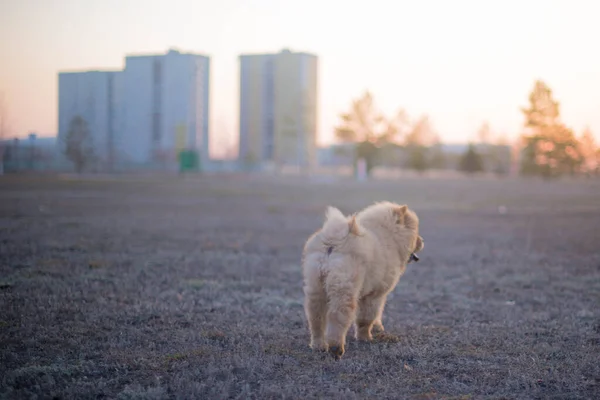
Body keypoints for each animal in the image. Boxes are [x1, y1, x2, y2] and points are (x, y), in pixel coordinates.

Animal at [300, 203, 422, 360]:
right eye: (416, 231)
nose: (421, 241)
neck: (390, 238)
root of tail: (334, 240)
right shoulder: (375, 294)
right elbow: (367, 317)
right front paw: (366, 337)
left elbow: (376, 315)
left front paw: (376, 328)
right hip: (344, 288)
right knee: (338, 316)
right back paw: (336, 348)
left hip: (316, 287)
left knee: (316, 317)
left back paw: (318, 346)